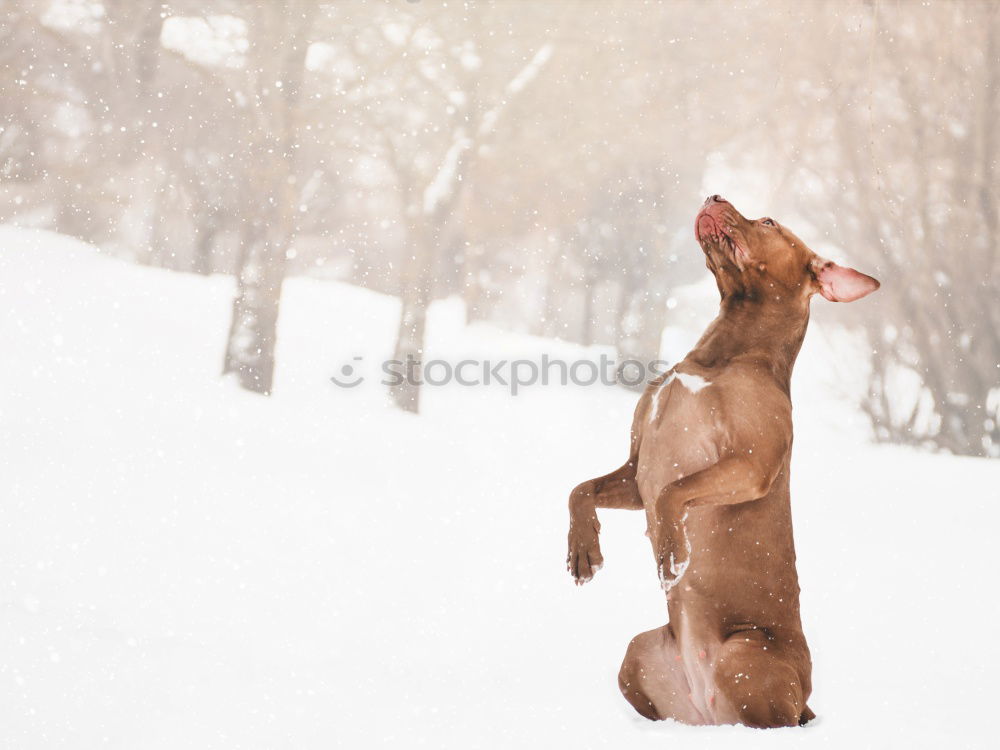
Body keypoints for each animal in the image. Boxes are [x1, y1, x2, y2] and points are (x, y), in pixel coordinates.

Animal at [568, 197, 880, 732]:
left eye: (769, 222)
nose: (714, 197)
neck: (723, 354)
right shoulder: (635, 473)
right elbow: (580, 489)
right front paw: (583, 551)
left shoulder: (749, 467)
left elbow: (673, 493)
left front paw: (672, 552)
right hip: (637, 655)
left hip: (743, 655)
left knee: (770, 722)